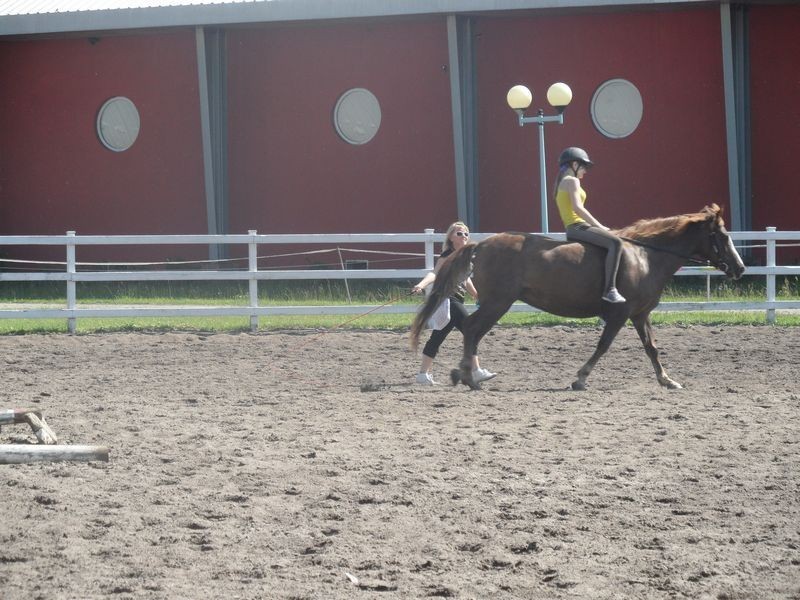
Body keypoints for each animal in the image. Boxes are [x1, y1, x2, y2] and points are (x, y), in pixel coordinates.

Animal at [412, 204, 744, 392]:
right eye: (723, 236)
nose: (740, 268)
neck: (646, 257)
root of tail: (481, 245)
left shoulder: (639, 315)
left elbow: (651, 348)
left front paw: (667, 380)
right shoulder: (621, 314)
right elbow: (604, 345)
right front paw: (580, 379)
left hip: (496, 304)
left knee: (472, 331)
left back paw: (466, 374)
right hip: (498, 303)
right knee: (471, 329)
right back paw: (468, 377)